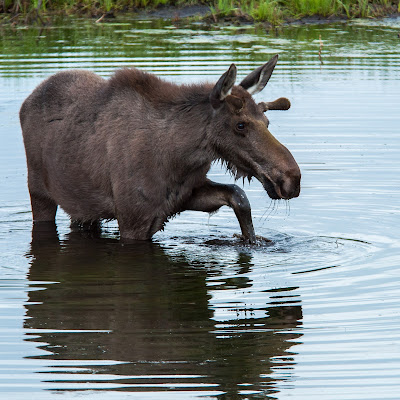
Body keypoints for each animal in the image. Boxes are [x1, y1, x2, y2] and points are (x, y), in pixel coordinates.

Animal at [19, 55, 300, 244]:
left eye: (267, 122)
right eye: (240, 125)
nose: (291, 179)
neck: (179, 156)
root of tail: (26, 102)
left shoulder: (186, 194)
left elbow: (238, 196)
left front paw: (250, 239)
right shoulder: (132, 220)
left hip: (83, 207)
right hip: (39, 191)